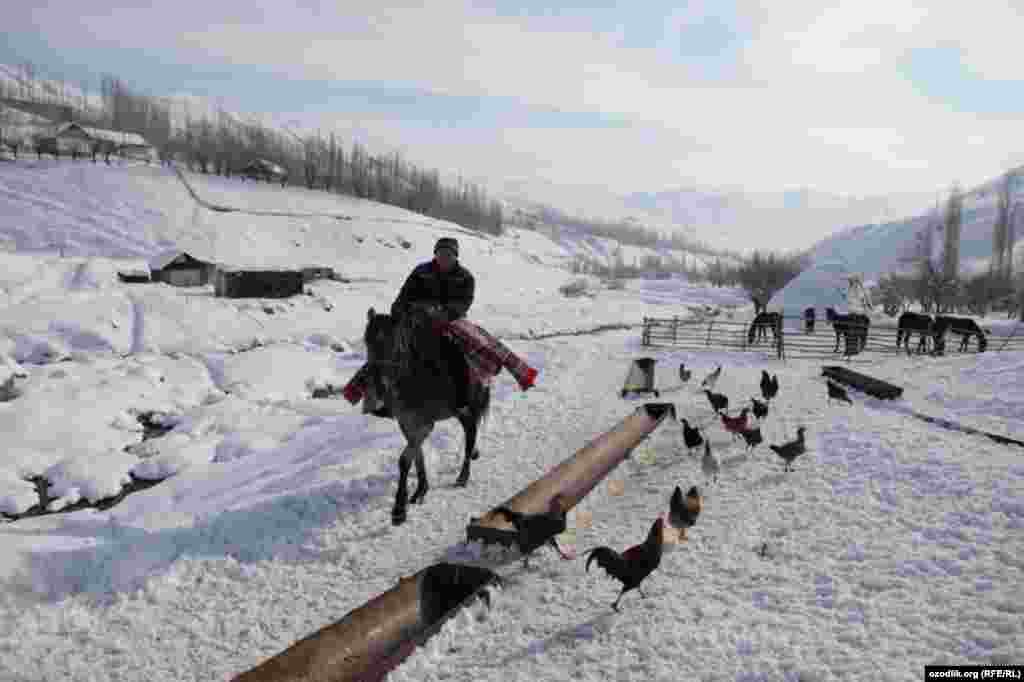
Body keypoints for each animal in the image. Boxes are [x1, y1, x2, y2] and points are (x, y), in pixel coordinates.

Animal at [364, 305, 491, 522]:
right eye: (367, 342)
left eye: (395, 345)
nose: (379, 386)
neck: (412, 378)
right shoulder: (407, 423)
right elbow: (417, 456)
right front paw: (421, 491)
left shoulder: (425, 424)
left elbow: (405, 459)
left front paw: (399, 509)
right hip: (461, 412)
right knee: (470, 432)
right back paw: (473, 456)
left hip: (470, 406)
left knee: (470, 434)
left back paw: (463, 477)